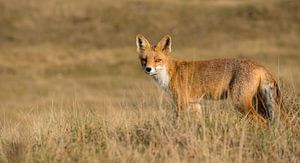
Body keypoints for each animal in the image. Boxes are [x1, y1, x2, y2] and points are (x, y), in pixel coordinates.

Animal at [136, 33, 290, 126]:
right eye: (144, 60)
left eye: (157, 60)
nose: (148, 69)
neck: (170, 73)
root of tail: (259, 65)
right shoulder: (195, 104)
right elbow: (199, 123)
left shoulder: (181, 103)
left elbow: (177, 122)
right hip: (257, 102)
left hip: (240, 102)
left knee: (262, 122)